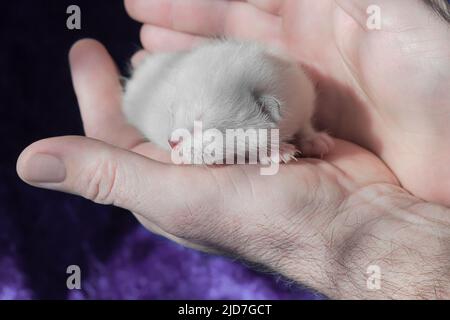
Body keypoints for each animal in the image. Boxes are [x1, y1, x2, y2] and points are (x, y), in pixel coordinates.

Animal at [121, 39, 332, 164]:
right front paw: (280, 152)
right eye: (172, 114)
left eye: (202, 124)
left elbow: (305, 126)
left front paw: (317, 141)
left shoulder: (301, 98)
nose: (171, 142)